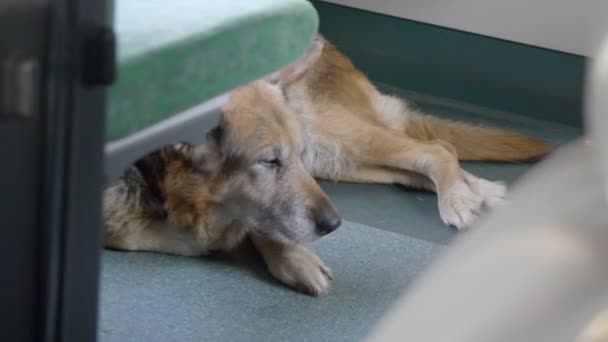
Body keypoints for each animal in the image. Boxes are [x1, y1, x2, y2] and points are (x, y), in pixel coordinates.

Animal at [103, 35, 552, 296]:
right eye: (269, 162)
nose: (335, 225)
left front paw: (290, 256)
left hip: (327, 137)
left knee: (437, 149)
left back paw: (461, 199)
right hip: (335, 159)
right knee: (420, 164)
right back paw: (480, 194)